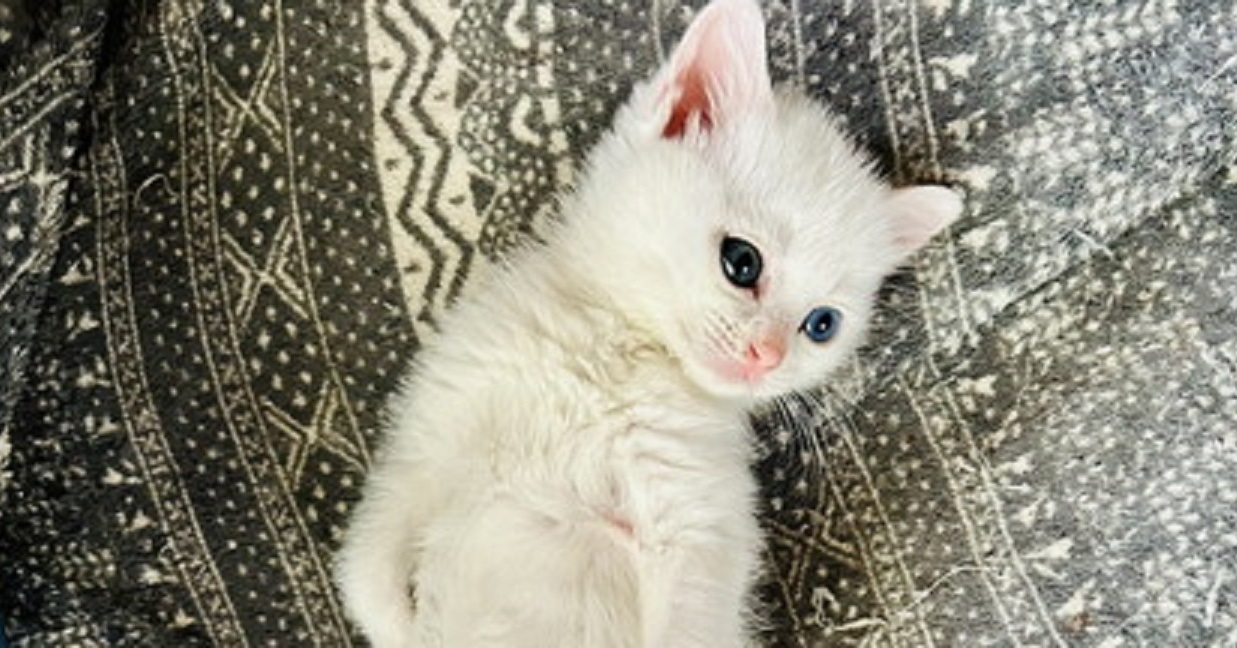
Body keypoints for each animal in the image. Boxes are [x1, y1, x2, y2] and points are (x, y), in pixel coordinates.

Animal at [335, 0, 962, 645]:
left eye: (821, 325)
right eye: (742, 261)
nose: (766, 356)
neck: (620, 356)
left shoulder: (698, 525)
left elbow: (691, 618)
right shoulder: (432, 431)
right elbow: (366, 555)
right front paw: (397, 623)